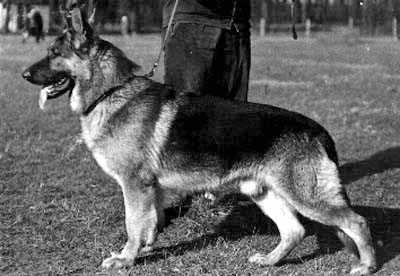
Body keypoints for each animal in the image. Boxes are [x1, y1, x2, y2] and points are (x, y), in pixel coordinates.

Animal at [22, 5, 378, 274]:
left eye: (53, 53)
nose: (24, 75)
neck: (111, 91)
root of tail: (319, 130)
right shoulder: (149, 188)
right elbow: (150, 221)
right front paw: (145, 247)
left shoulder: (135, 185)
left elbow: (133, 222)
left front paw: (125, 258)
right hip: (262, 192)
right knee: (295, 230)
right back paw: (269, 261)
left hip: (305, 197)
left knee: (356, 221)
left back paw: (367, 266)